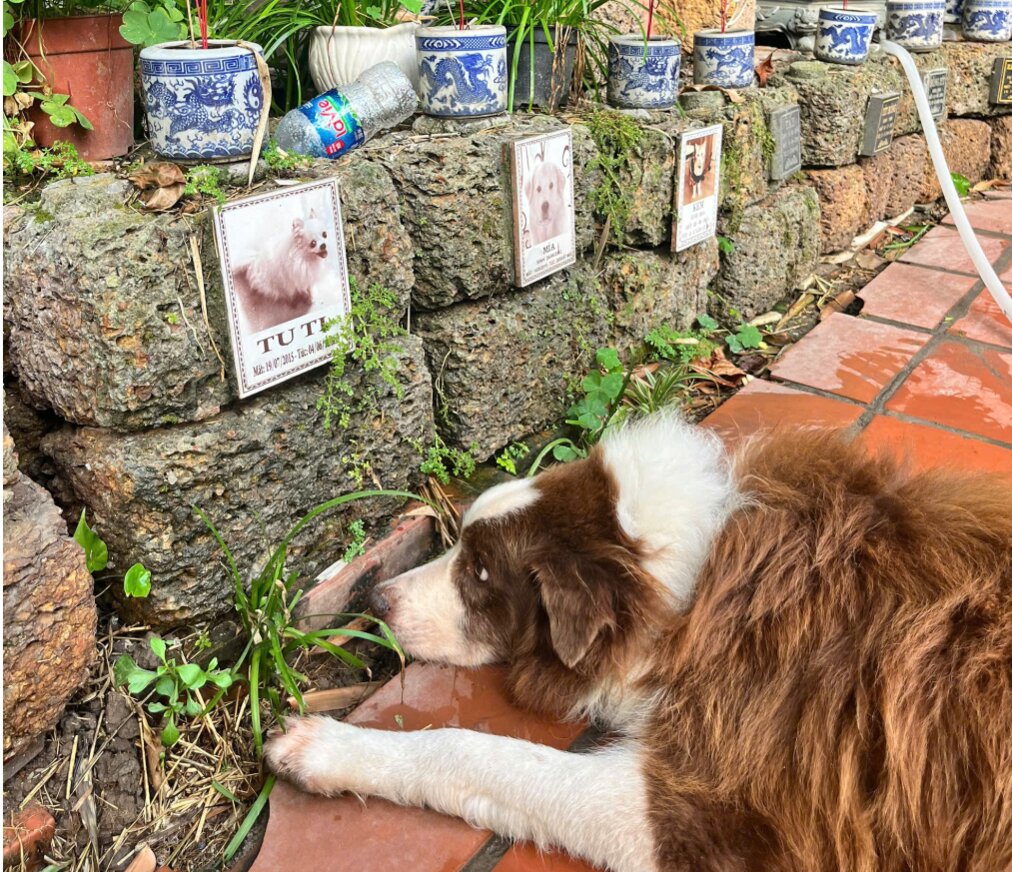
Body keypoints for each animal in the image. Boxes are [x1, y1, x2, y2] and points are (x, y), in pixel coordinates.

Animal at [266, 415, 1012, 872]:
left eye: (478, 572)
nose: (375, 600)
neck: (687, 581)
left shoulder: (718, 801)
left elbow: (470, 749)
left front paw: (324, 748)